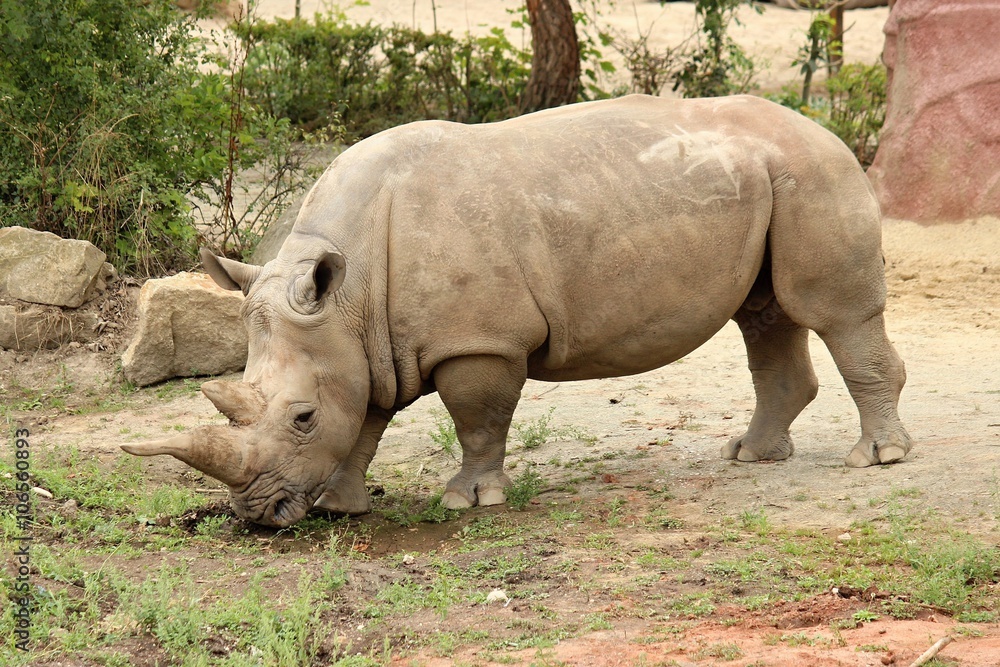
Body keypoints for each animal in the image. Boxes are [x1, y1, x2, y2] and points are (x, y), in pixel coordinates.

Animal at [122, 94, 912, 527]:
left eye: (301, 418)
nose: (256, 517)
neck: (348, 296)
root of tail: (824, 129)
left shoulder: (480, 339)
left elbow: (477, 418)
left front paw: (469, 502)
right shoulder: (359, 341)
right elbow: (368, 419)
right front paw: (343, 506)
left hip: (815, 173)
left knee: (831, 313)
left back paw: (877, 459)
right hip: (768, 178)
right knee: (765, 314)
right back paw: (751, 455)